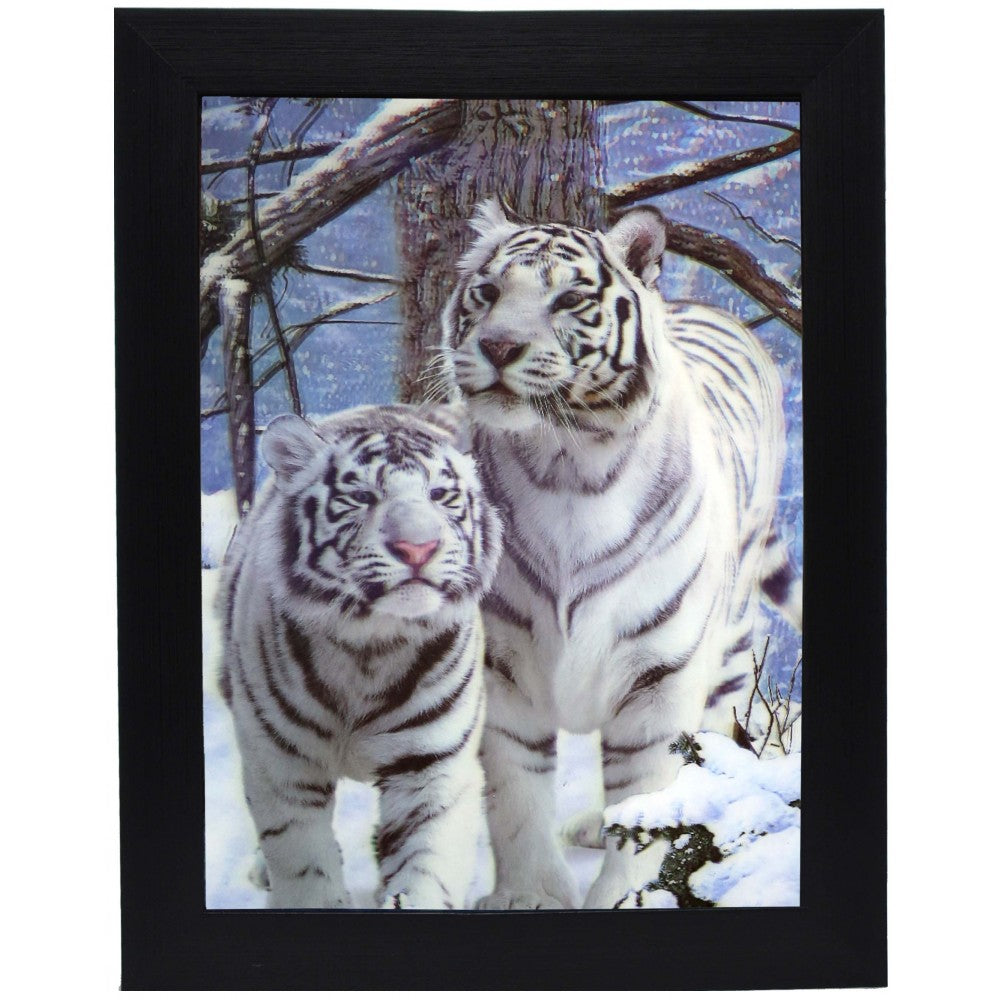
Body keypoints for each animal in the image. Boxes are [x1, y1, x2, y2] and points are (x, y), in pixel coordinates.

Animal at [217, 404, 502, 908]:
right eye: (362, 496)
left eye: (440, 495)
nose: (418, 548)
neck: (369, 649)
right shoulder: (283, 766)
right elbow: (303, 866)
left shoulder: (432, 768)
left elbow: (425, 872)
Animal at [440, 199, 800, 908]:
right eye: (487, 292)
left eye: (569, 299)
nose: (497, 347)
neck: (564, 463)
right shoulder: (502, 669)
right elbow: (514, 795)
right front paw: (529, 896)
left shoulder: (660, 676)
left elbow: (646, 803)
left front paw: (628, 896)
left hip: (729, 644)